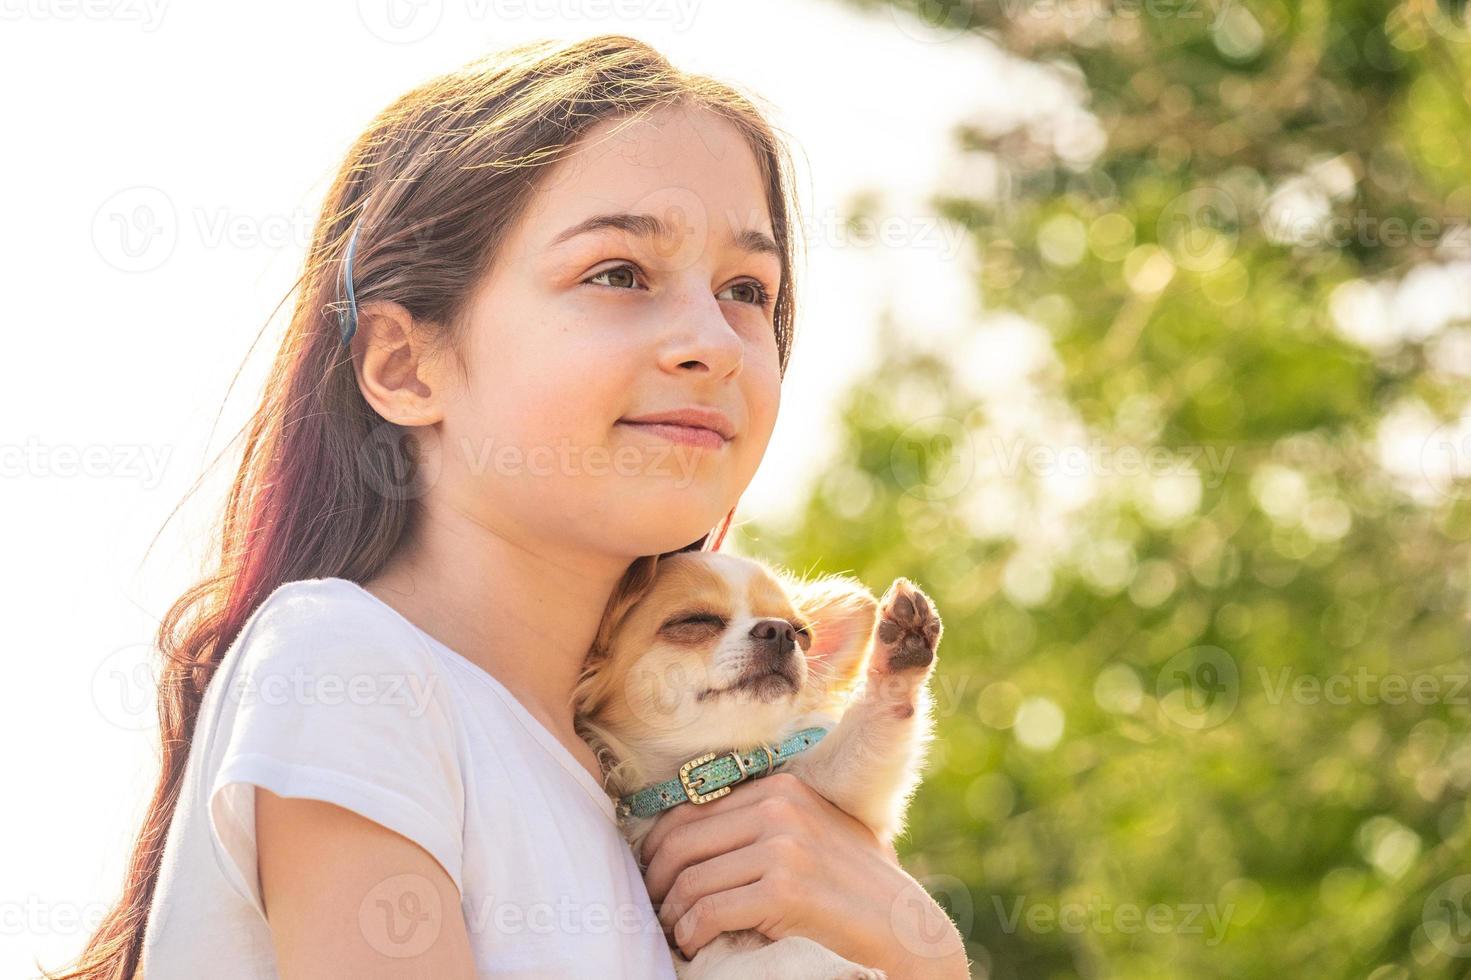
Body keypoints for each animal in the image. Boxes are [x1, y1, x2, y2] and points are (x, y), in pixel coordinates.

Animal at [570, 550, 941, 977]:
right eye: (694, 621)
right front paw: (842, 969)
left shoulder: (835, 785)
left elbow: (866, 736)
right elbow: (782, 951)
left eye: (802, 633)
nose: (779, 632)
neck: (720, 766)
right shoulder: (703, 956)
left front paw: (901, 655)